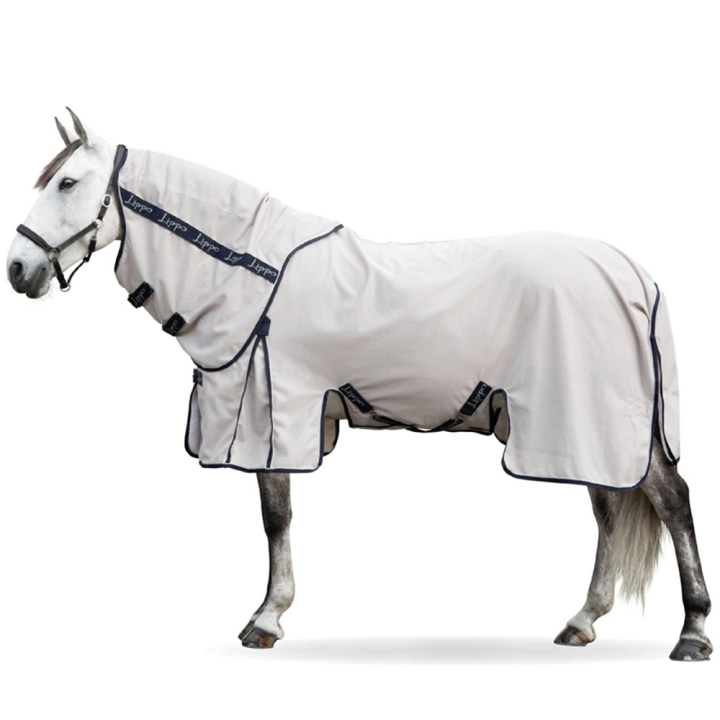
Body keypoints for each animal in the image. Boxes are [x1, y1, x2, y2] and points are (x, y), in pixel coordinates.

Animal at [6, 109, 712, 661]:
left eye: (67, 181)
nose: (18, 268)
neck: (253, 275)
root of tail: (633, 273)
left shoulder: (277, 415)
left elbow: (276, 518)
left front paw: (266, 618)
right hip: (586, 428)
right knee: (610, 509)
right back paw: (583, 621)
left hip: (588, 419)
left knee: (670, 500)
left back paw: (693, 633)